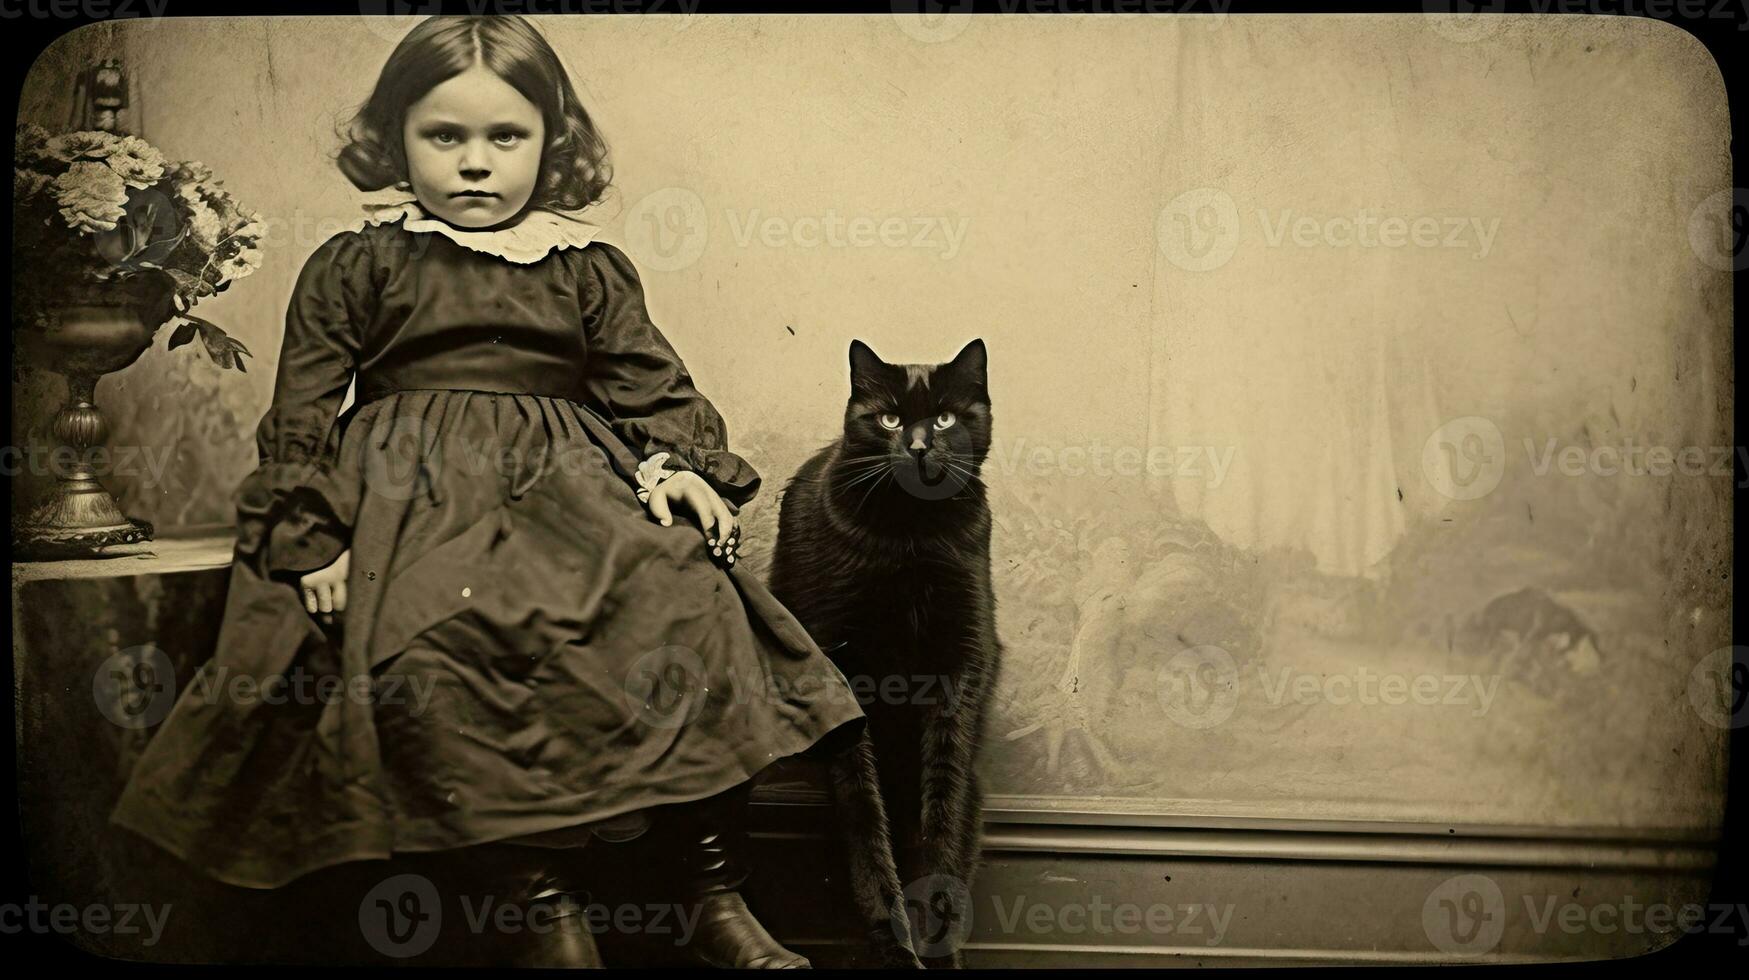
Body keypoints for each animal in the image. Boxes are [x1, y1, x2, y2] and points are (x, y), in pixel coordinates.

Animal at [773, 341, 1007, 966]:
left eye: (945, 418)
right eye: (889, 420)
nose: (919, 446)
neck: (911, 536)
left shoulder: (963, 659)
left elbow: (941, 809)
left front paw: (934, 935)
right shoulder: (837, 664)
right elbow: (863, 807)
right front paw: (894, 936)